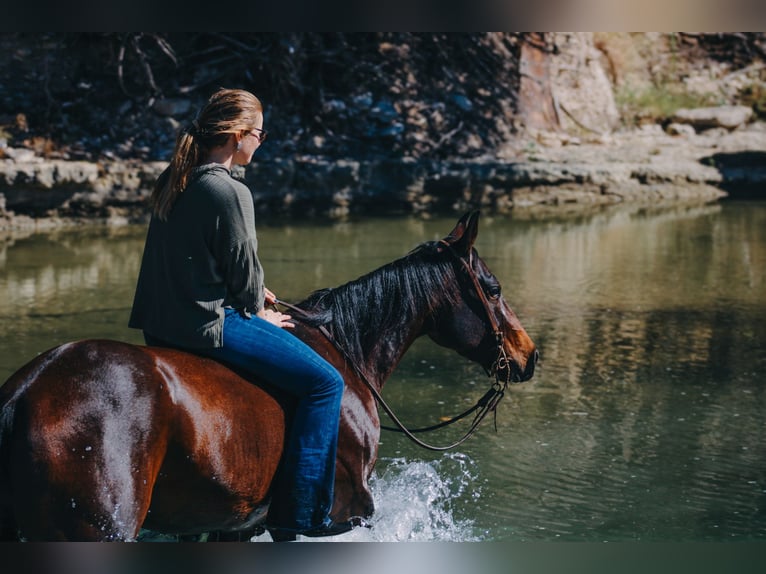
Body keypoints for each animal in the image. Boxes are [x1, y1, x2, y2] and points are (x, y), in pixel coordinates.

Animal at [0, 209, 540, 544]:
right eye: (493, 288)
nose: (529, 355)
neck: (348, 352)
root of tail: (24, 392)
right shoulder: (345, 513)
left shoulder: (235, 526)